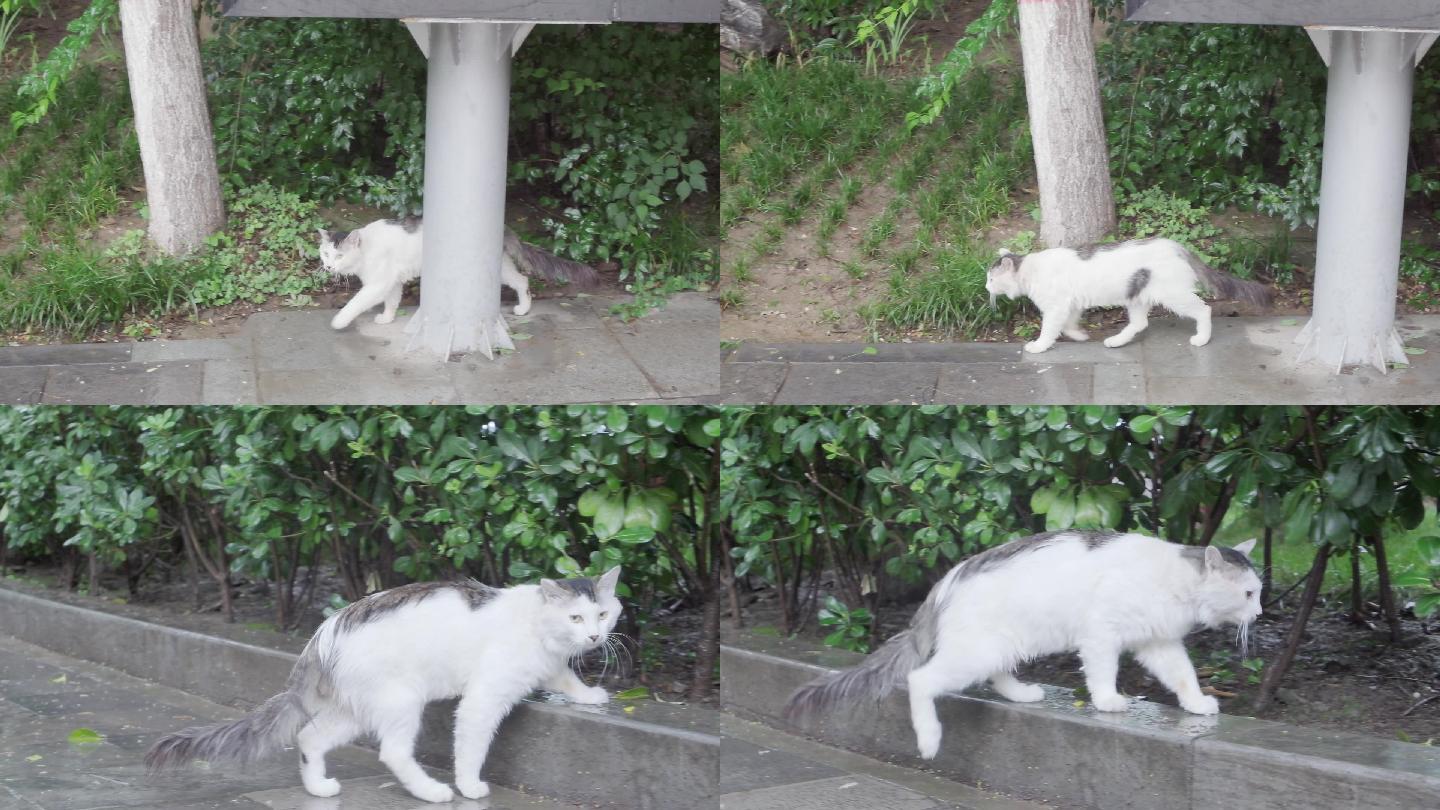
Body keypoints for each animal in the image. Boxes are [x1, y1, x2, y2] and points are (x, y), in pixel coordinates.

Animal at [143, 567, 622, 801]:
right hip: (400, 701)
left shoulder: (550, 664)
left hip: (356, 710)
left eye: (602, 614)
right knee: (393, 752)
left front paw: (590, 695)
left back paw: (318, 788)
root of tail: (326, 630)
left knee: (309, 738)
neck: (537, 627)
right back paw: (432, 792)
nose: (594, 637)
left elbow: (565, 675)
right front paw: (470, 786)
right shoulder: (483, 698)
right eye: (575, 617)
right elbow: (471, 748)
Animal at [318, 216, 599, 330]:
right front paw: (387, 319)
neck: (366, 250)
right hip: (501, 267)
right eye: (325, 254)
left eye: (339, 256)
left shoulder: (379, 283)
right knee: (522, 280)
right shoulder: (391, 281)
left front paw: (339, 322)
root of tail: (502, 226)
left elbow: (355, 303)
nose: (329, 267)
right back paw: (523, 308)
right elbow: (392, 301)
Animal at [789, 533, 1261, 760]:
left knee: (997, 676)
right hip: (974, 653)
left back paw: (1022, 694)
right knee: (920, 680)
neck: (1176, 582)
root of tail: (947, 580)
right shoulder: (1102, 634)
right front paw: (1108, 701)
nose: (1259, 614)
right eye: (1250, 594)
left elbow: (1183, 676)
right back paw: (929, 739)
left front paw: (1197, 704)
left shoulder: (1159, 642)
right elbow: (1103, 672)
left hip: (1003, 646)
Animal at [984, 237, 1278, 354]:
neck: (1030, 270)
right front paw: (1079, 336)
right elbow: (1069, 325)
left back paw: (1202, 339)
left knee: (1203, 309)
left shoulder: (1056, 307)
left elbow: (1049, 330)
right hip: (1136, 297)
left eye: (990, 278)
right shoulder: (1071, 304)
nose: (986, 288)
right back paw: (1115, 341)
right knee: (1140, 324)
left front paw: (1038, 346)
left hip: (1173, 296)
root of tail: (1176, 246)